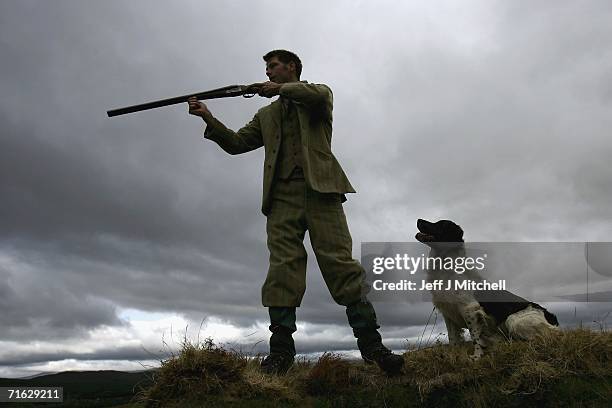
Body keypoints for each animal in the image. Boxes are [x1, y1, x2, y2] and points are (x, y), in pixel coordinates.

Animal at [414, 218, 556, 358]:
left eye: (440, 224)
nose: (418, 220)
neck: (449, 270)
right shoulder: (448, 314)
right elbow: (453, 339)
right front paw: (453, 357)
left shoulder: (470, 309)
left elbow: (475, 337)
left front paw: (477, 357)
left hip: (513, 320)